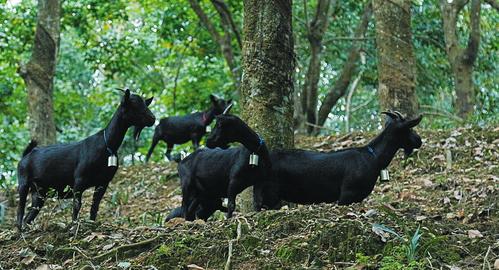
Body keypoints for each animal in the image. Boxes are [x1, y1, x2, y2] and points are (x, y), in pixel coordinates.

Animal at [16, 89, 154, 229]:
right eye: (134, 105)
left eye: (145, 103)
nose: (153, 119)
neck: (107, 145)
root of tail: (26, 155)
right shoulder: (79, 180)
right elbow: (77, 205)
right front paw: (73, 225)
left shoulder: (103, 182)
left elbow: (95, 206)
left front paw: (91, 223)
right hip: (23, 183)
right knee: (20, 209)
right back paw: (19, 229)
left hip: (40, 192)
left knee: (30, 214)